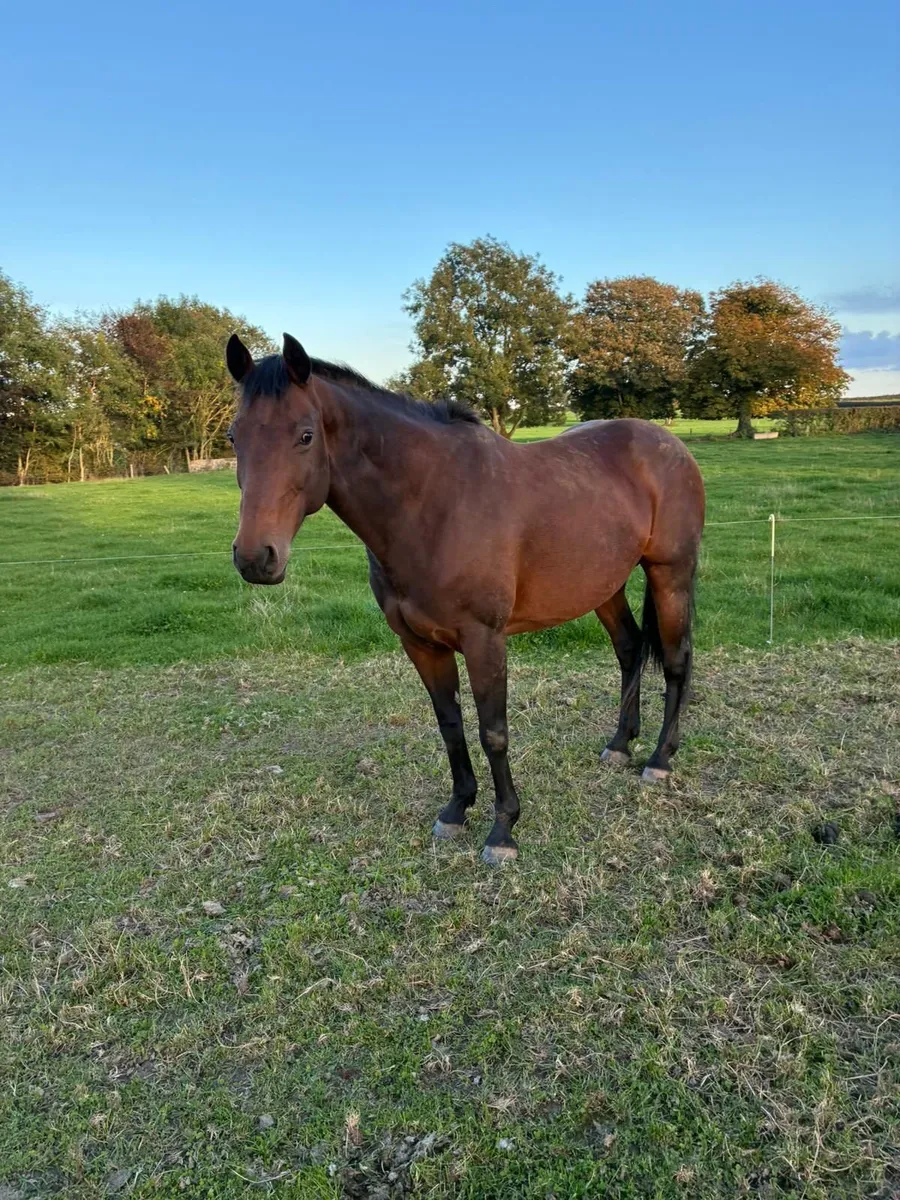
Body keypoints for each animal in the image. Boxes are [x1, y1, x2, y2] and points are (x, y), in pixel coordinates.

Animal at [226, 333, 706, 865]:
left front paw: (502, 830)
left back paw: (660, 759)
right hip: (606, 585)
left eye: (306, 435)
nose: (256, 558)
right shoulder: (420, 644)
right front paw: (456, 809)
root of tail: (670, 444)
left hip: (670, 574)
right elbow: (450, 724)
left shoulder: (484, 640)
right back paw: (620, 744)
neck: (432, 503)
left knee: (678, 660)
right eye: (233, 437)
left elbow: (492, 732)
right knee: (629, 648)